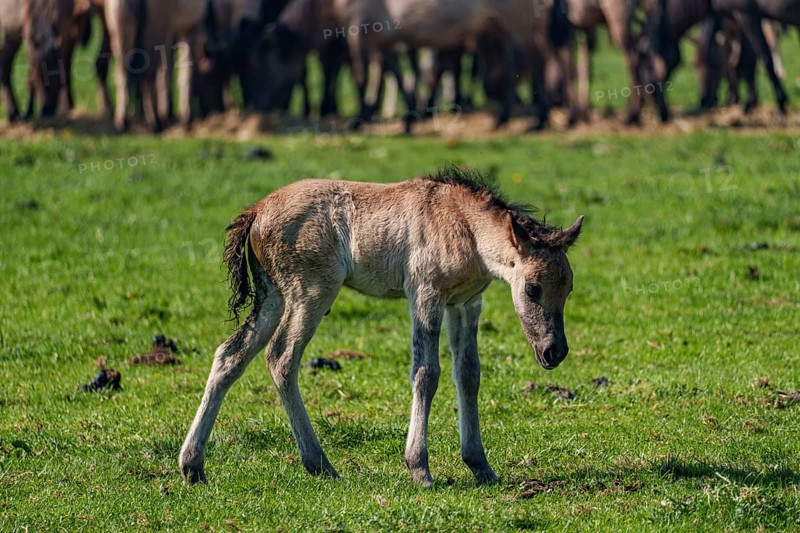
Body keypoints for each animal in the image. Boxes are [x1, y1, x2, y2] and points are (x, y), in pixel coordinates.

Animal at [179, 166, 583, 487]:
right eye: (532, 288)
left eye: (569, 287)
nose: (554, 351)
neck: (464, 226)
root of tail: (257, 210)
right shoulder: (424, 294)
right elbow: (426, 372)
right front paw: (419, 468)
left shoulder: (466, 304)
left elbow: (468, 373)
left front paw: (480, 466)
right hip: (311, 292)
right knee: (281, 358)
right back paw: (319, 464)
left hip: (273, 296)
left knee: (230, 355)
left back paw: (193, 466)